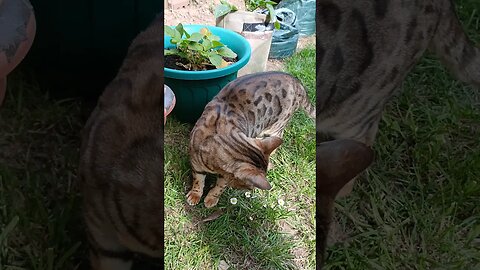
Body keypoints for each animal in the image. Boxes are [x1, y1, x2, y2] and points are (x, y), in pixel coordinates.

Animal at [187, 71, 316, 207]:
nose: (251, 190)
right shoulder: (196, 164)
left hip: (275, 127)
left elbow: (220, 187)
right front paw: (195, 194)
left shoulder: (224, 176)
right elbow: (198, 181)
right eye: (249, 186)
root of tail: (295, 80)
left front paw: (212, 197)